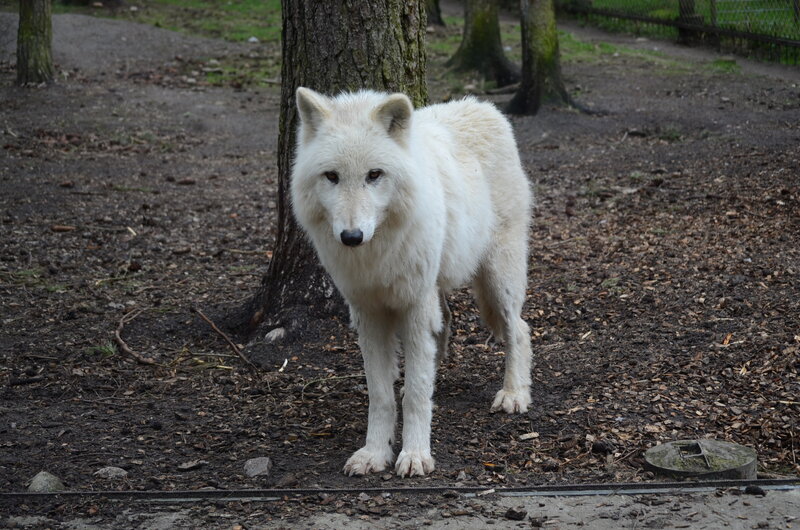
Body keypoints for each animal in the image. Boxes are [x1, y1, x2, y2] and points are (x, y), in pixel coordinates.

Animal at [290, 87, 533, 477]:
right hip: (438, 284)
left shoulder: (415, 306)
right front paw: (374, 453)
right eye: (332, 176)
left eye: (374, 175)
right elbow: (382, 394)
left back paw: (514, 394)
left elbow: (416, 394)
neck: (377, 254)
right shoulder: (368, 314)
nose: (351, 236)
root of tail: (484, 106)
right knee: (446, 323)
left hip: (498, 276)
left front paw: (415, 454)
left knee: (519, 330)